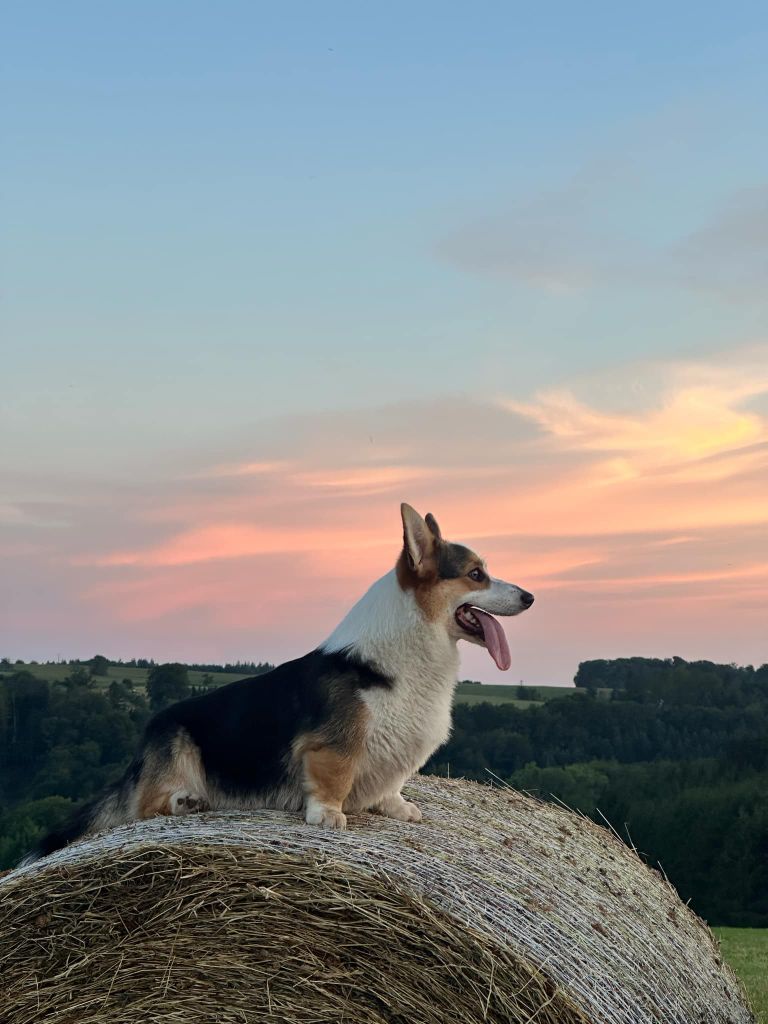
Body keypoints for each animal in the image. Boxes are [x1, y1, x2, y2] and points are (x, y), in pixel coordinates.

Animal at [20, 505, 532, 864]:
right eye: (476, 574)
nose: (530, 596)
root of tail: (143, 742)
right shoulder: (334, 745)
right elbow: (333, 778)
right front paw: (329, 816)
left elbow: (392, 784)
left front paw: (398, 808)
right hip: (180, 747)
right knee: (143, 808)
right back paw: (185, 801)